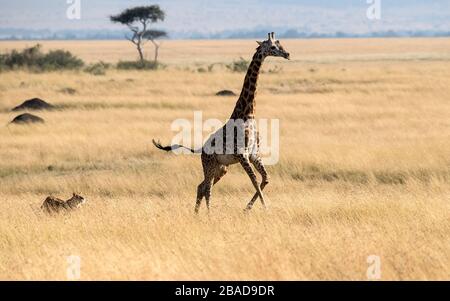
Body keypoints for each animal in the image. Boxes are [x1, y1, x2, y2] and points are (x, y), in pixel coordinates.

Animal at [153, 32, 290, 213]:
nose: (287, 54)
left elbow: (265, 179)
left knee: (201, 186)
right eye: (273, 47)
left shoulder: (254, 154)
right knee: (207, 188)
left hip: (221, 168)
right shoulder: (242, 154)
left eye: (280, 44)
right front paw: (263, 208)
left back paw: (197, 214)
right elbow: (254, 180)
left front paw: (248, 208)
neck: (248, 113)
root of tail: (200, 150)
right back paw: (208, 214)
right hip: (210, 165)